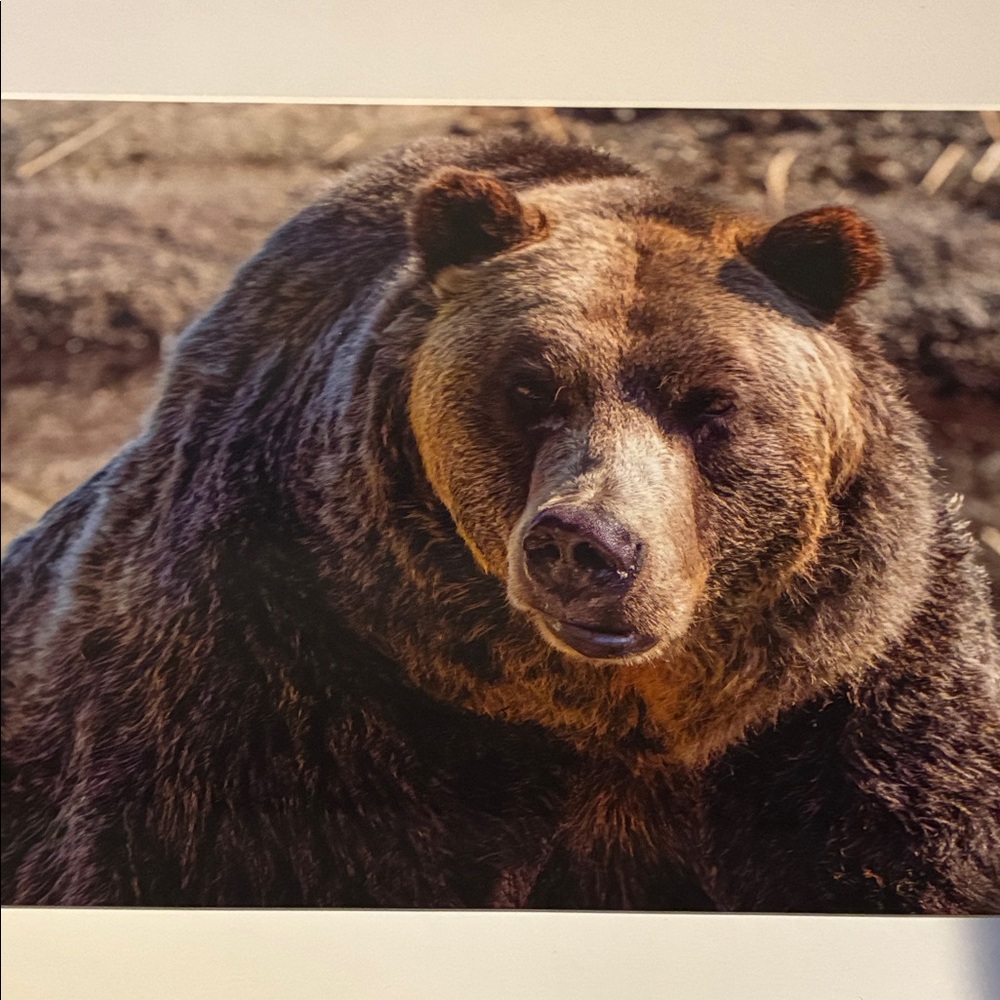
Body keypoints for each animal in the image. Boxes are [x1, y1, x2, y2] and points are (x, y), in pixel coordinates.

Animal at [2, 133, 998, 912]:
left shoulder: (846, 695)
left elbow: (918, 845)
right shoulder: (287, 674)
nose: (588, 544)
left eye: (711, 404)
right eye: (530, 390)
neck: (613, 715)